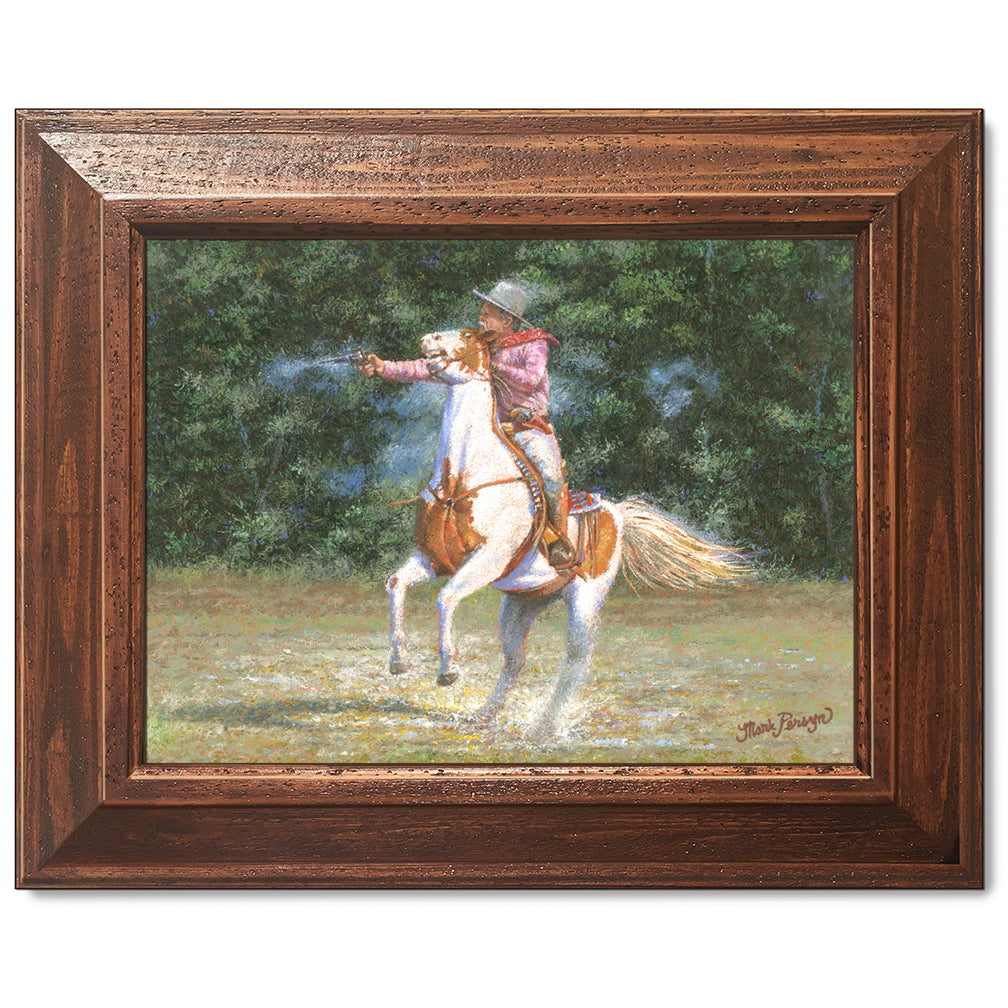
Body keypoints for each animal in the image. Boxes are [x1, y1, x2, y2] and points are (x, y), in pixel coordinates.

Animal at [383, 326, 741, 737]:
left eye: (469, 334)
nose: (428, 339)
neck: (463, 475)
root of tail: (616, 513)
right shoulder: (433, 557)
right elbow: (397, 583)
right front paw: (399, 660)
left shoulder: (488, 559)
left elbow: (445, 598)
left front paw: (447, 670)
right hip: (521, 605)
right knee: (515, 659)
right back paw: (485, 715)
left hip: (585, 602)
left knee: (575, 662)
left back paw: (544, 728)